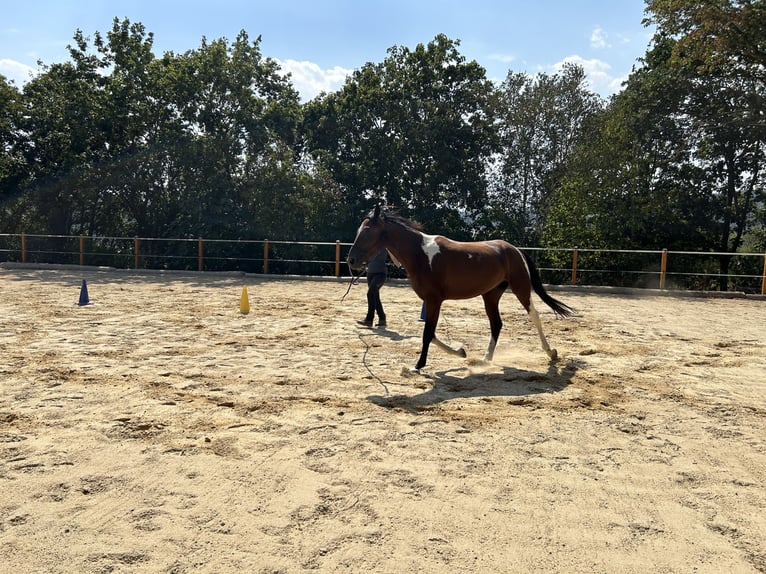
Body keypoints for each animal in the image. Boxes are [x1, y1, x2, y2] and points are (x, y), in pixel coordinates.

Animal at [347, 206, 574, 371]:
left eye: (367, 231)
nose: (351, 260)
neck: (421, 255)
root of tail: (514, 249)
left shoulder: (434, 300)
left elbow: (428, 334)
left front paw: (417, 366)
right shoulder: (431, 301)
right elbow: (432, 333)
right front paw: (460, 351)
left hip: (521, 288)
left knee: (534, 316)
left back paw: (551, 353)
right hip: (491, 295)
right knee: (496, 324)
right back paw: (486, 359)